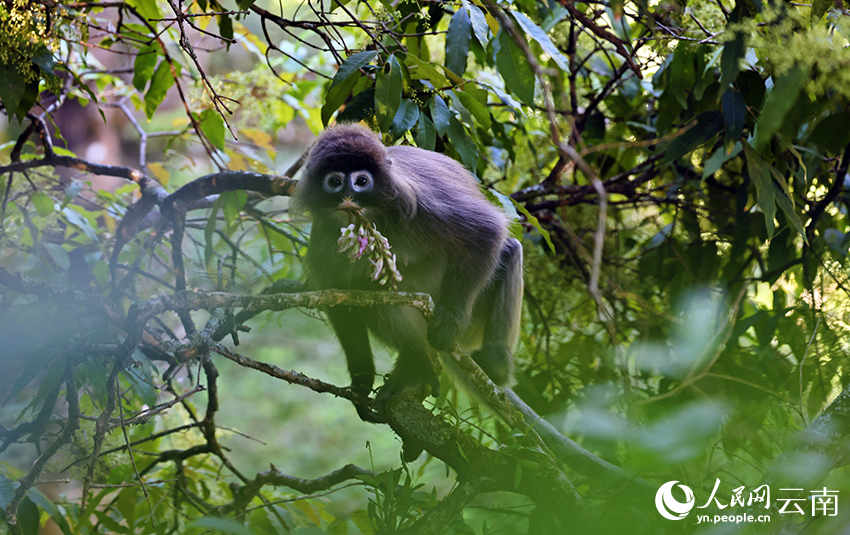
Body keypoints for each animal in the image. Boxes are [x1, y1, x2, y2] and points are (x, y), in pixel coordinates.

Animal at [296, 123, 524, 426]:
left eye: (361, 181)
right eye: (334, 182)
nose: (349, 197)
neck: (377, 218)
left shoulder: (424, 204)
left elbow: (487, 231)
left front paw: (450, 317)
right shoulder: (323, 236)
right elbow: (339, 299)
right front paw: (362, 383)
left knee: (509, 248)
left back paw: (495, 360)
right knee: (374, 290)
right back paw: (415, 364)